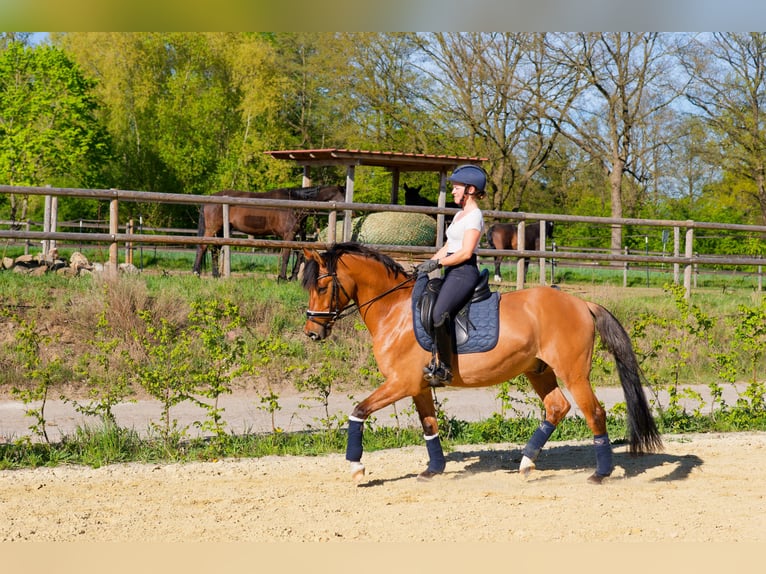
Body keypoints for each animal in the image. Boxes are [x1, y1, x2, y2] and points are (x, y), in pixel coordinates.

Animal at [192, 185, 344, 281]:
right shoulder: (288, 235)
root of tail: (210, 198)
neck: (295, 204)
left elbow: (299, 254)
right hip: (212, 229)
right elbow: (286, 256)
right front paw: (282, 278)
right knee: (202, 247)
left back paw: (215, 275)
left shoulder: (294, 236)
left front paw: (293, 277)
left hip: (219, 231)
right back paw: (196, 273)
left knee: (215, 250)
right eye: (343, 195)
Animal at [301, 242, 662, 484]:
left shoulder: (400, 383)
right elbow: (429, 427)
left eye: (322, 285)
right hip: (539, 370)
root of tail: (582, 303)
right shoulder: (418, 385)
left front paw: (356, 467)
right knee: (557, 408)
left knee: (594, 413)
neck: (395, 310)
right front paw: (433, 469)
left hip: (573, 373)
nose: (312, 333)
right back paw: (526, 463)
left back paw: (600, 473)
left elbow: (358, 411)